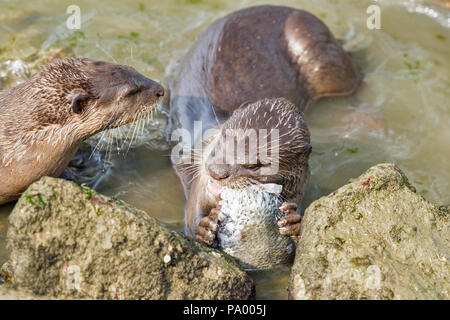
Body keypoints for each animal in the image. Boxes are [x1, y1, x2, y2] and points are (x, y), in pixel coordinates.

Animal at [167, 4, 360, 252]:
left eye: (254, 165)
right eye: (222, 137)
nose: (216, 172)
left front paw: (294, 221)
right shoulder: (199, 182)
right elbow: (193, 214)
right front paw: (204, 227)